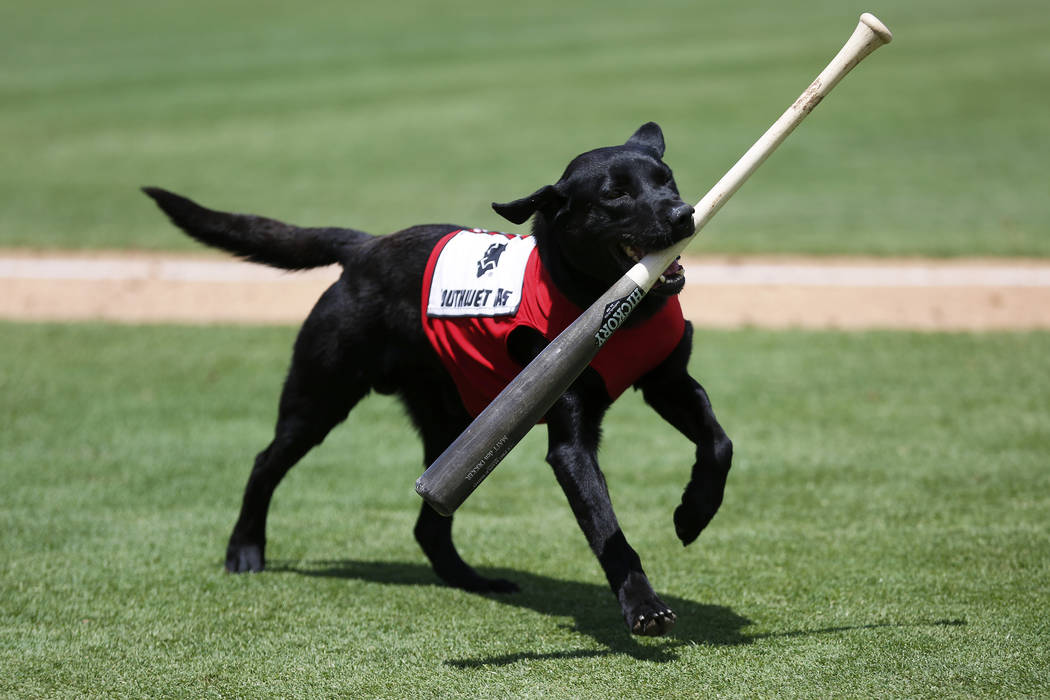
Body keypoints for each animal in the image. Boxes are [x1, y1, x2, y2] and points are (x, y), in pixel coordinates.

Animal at [143, 123, 734, 638]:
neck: (614, 305)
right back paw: (244, 550)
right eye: (615, 194)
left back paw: (472, 580)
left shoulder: (668, 382)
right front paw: (643, 606)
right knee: (265, 463)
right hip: (320, 396)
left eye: (667, 180)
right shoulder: (570, 439)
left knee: (428, 526)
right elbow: (608, 529)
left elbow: (719, 443)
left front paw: (693, 513)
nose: (684, 214)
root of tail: (365, 247)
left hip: (452, 419)